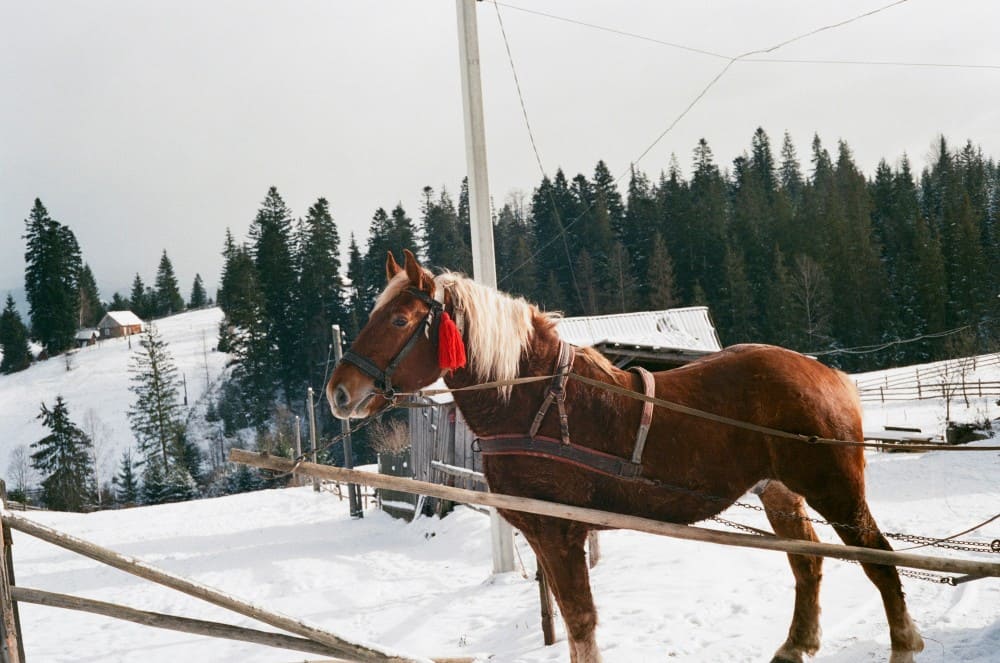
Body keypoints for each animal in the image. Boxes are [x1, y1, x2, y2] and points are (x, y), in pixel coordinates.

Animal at [326, 249, 924, 663]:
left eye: (399, 321)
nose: (339, 392)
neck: (532, 399)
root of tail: (826, 372)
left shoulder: (561, 533)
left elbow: (581, 622)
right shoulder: (543, 534)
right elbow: (574, 624)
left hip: (834, 488)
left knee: (878, 556)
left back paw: (903, 641)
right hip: (779, 490)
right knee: (808, 562)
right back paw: (796, 644)